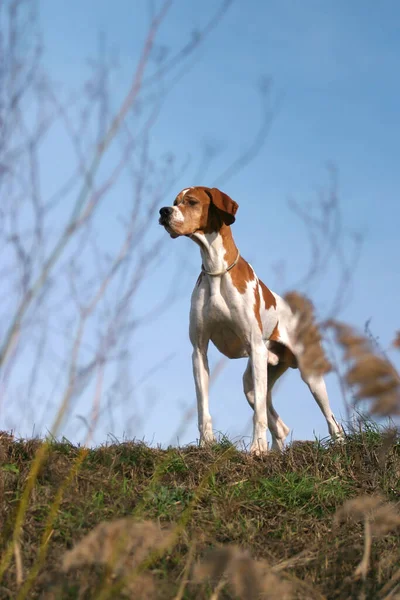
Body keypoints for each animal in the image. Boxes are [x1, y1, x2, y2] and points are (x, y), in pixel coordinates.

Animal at [159, 185, 344, 452]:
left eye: (191, 202)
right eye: (174, 202)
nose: (163, 211)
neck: (216, 270)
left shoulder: (255, 348)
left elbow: (258, 415)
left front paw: (257, 448)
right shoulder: (199, 351)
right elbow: (203, 406)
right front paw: (206, 443)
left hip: (309, 375)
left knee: (332, 421)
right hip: (254, 380)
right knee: (279, 425)